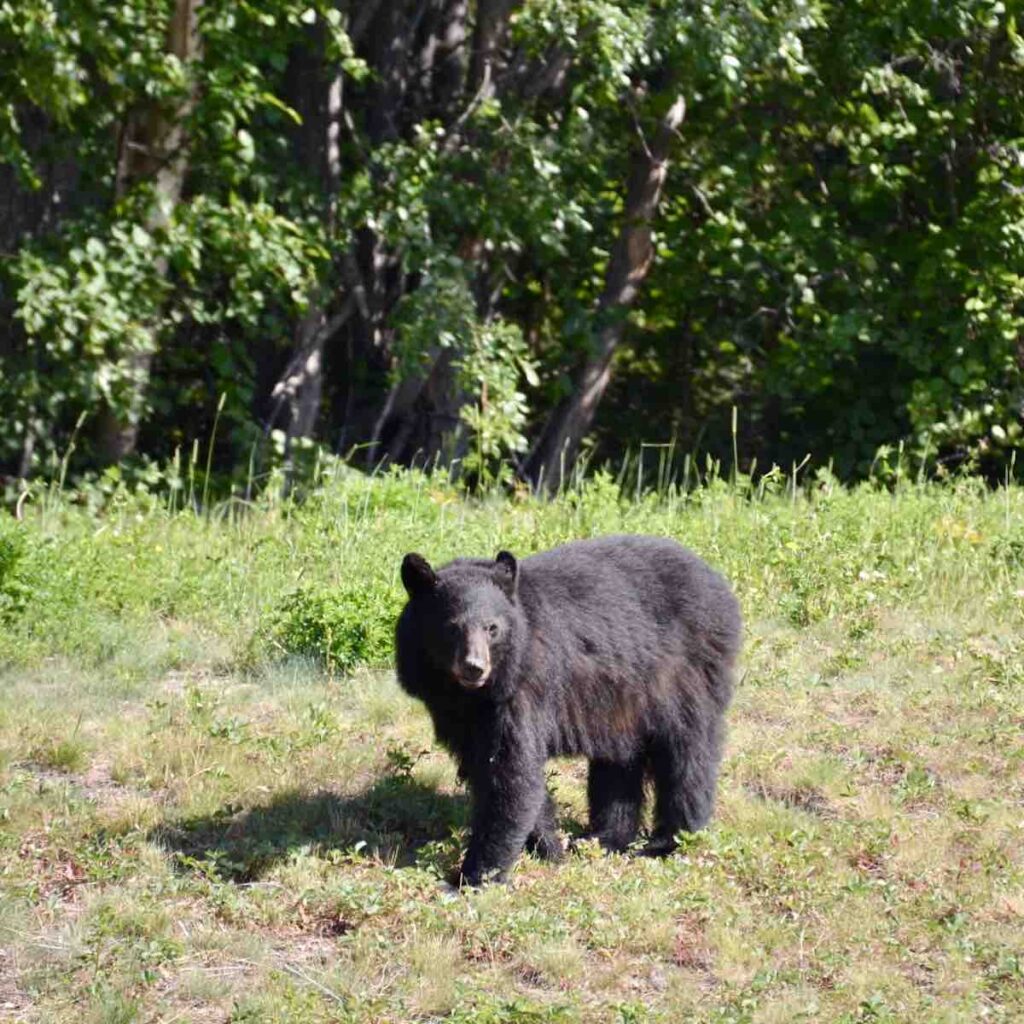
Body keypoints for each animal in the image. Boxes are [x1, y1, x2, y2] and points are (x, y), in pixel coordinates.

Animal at [395, 532, 741, 884]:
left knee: (687, 755)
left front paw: (473, 876)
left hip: (685, 673)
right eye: (451, 627)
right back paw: (603, 838)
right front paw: (549, 848)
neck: (471, 695)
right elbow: (491, 768)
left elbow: (509, 773)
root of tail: (717, 581)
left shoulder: (522, 691)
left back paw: (669, 841)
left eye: (492, 628)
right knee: (618, 764)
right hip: (620, 698)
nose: (474, 668)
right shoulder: (455, 712)